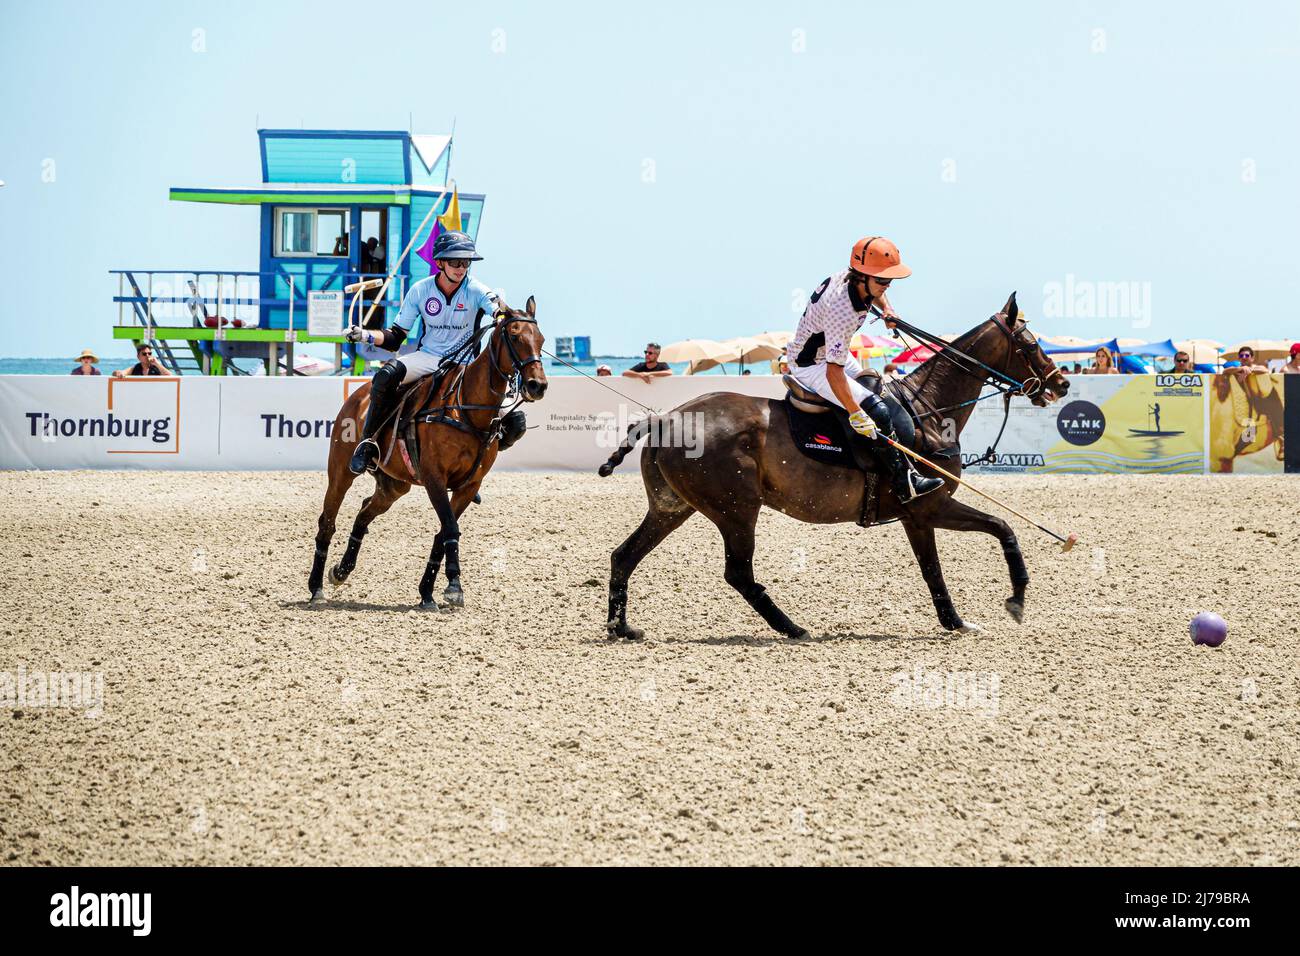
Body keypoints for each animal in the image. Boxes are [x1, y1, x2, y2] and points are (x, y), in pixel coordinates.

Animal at [310, 299, 548, 608]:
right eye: (516, 336)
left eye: (541, 340)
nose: (537, 385)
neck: (467, 409)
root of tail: (358, 395)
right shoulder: (435, 478)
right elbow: (449, 528)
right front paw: (454, 586)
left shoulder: (470, 486)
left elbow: (443, 532)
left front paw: (428, 592)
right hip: (340, 470)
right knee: (327, 522)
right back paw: (316, 587)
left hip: (394, 485)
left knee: (363, 511)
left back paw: (341, 570)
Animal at [598, 297, 1066, 642]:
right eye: (1030, 344)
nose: (1061, 383)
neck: (929, 410)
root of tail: (664, 418)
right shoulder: (927, 507)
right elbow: (989, 536)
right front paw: (1004, 605)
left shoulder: (919, 515)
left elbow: (965, 550)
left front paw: (967, 617)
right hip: (736, 509)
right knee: (738, 573)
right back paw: (792, 628)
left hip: (673, 507)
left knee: (624, 554)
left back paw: (622, 627)